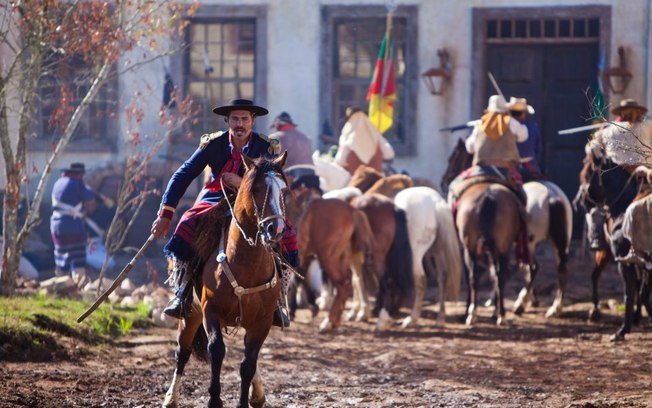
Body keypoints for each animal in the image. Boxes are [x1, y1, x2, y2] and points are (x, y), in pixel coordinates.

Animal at [163, 153, 288, 408]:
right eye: (257, 188)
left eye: (284, 190)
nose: (276, 228)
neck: (246, 264)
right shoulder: (211, 312)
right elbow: (217, 351)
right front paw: (214, 399)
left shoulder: (261, 322)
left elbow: (248, 363)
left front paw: (244, 401)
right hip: (191, 313)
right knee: (183, 351)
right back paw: (171, 397)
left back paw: (257, 394)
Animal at [376, 186, 464, 330]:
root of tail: (436, 202)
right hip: (437, 250)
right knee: (443, 276)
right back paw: (440, 318)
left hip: (416, 255)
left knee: (421, 280)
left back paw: (412, 319)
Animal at [516, 181, 572, 318]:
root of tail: (552, 198)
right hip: (561, 245)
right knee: (562, 270)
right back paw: (555, 308)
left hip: (529, 242)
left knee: (534, 268)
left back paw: (520, 304)